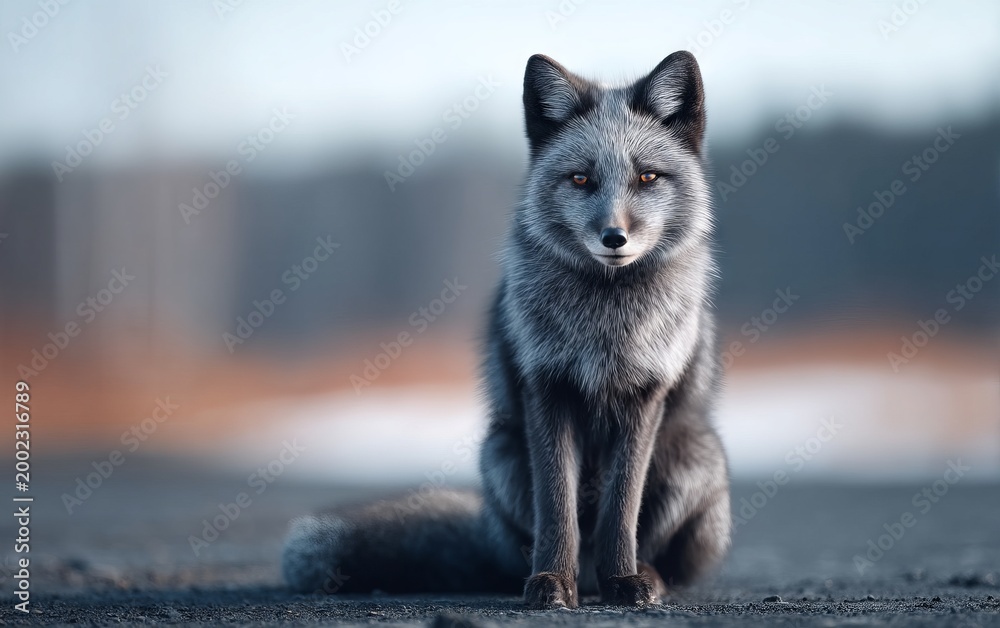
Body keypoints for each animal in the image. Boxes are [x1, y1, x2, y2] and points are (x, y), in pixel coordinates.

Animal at [283, 51, 731, 609]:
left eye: (647, 177)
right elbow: (557, 507)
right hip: (500, 455)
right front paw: (551, 582)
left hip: (692, 455)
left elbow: (620, 510)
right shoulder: (545, 388)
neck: (605, 327)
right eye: (580, 180)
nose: (614, 237)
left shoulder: (644, 397)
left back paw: (643, 576)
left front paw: (624, 581)